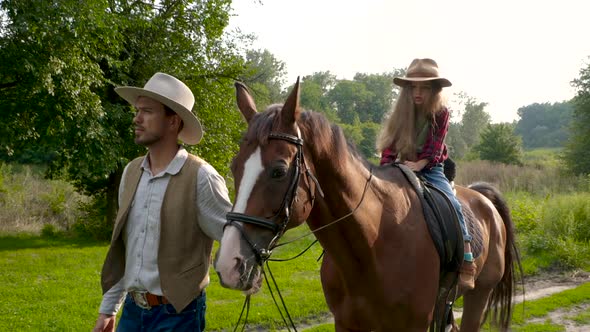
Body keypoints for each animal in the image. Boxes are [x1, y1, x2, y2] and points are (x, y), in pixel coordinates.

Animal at [214, 81, 524, 332]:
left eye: (278, 171)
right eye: (234, 167)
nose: (230, 264)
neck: (372, 244)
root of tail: (483, 199)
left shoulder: (412, 325)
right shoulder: (347, 324)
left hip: (479, 295)